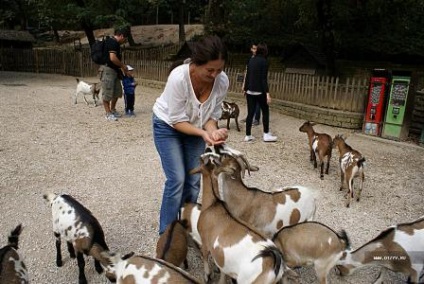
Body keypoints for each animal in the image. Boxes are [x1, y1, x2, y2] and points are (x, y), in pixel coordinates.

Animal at [190, 152, 290, 284]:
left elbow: (205, 256)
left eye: (203, 161)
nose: (201, 155)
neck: (213, 204)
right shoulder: (223, 260)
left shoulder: (205, 241)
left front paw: (207, 275)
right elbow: (222, 272)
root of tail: (274, 257)